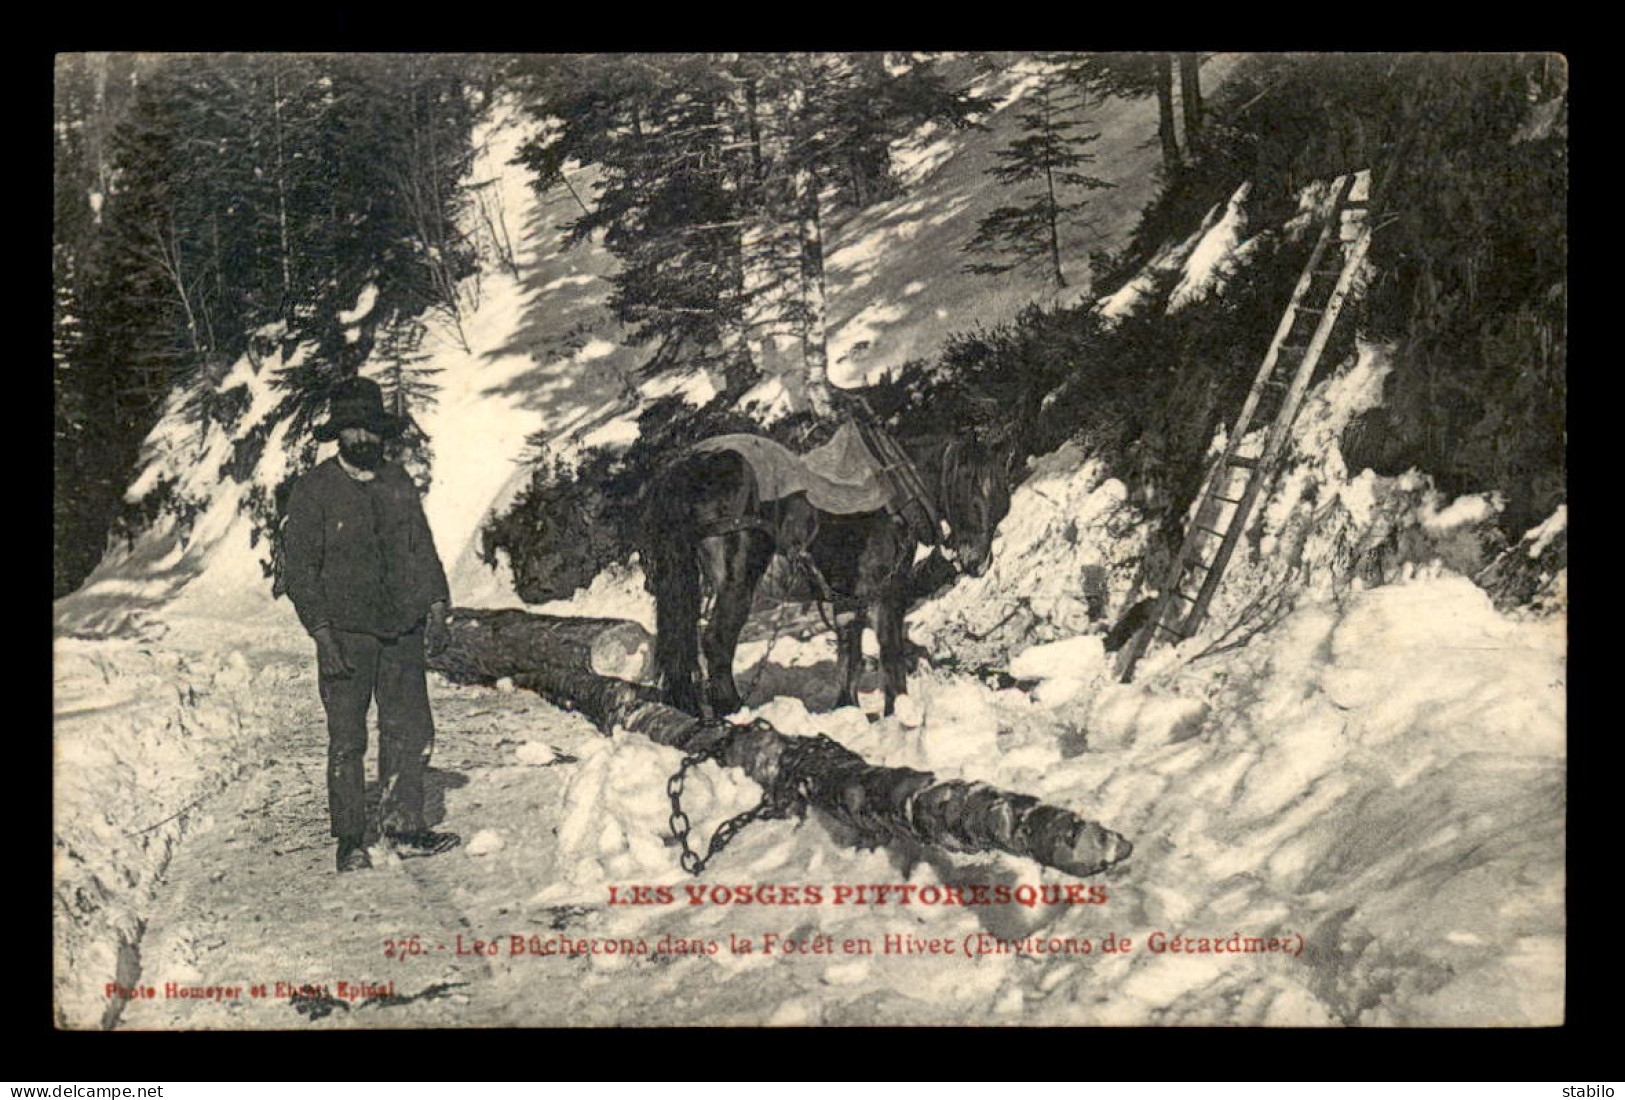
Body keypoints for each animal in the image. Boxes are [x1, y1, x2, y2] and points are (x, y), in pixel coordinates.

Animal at [640, 428, 1007, 721]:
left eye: (1001, 501)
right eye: (967, 488)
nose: (977, 561)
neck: (899, 493)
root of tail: (694, 464)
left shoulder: (847, 597)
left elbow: (850, 654)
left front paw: (847, 708)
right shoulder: (885, 593)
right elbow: (890, 655)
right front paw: (898, 714)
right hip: (737, 582)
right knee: (716, 641)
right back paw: (732, 710)